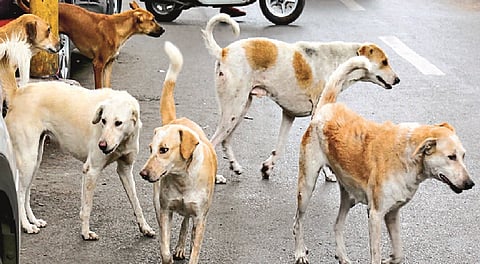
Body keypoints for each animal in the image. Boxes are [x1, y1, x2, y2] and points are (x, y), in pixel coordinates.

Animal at [0, 50, 155, 240]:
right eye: (103, 121)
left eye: (118, 123)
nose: (102, 145)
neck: (122, 140)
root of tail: (17, 93)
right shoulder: (91, 170)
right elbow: (87, 207)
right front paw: (86, 232)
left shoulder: (125, 170)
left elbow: (136, 203)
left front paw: (145, 227)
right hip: (27, 160)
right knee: (20, 193)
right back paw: (27, 226)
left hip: (35, 160)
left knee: (26, 192)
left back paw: (33, 221)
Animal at [18, 0, 165, 89]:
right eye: (153, 20)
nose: (163, 30)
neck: (117, 28)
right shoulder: (98, 64)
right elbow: (99, 86)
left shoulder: (109, 64)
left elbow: (107, 86)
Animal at [140, 41, 217, 264]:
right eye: (150, 149)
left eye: (164, 150)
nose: (143, 174)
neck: (183, 178)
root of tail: (175, 121)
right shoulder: (165, 210)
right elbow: (164, 247)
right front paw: (167, 255)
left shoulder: (200, 218)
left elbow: (195, 249)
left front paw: (187, 251)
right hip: (157, 202)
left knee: (185, 223)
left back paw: (182, 246)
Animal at [202, 14, 402, 182]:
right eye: (384, 62)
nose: (398, 80)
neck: (339, 60)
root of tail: (223, 52)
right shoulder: (317, 116)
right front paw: (329, 174)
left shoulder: (288, 115)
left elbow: (279, 147)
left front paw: (267, 168)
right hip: (233, 112)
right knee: (213, 142)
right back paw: (215, 177)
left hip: (241, 109)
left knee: (225, 141)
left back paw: (234, 166)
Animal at [290, 56, 474, 264]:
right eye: (451, 157)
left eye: (463, 156)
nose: (470, 184)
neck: (407, 156)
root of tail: (327, 107)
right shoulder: (376, 216)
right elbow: (376, 255)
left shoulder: (392, 214)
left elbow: (399, 253)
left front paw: (391, 258)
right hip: (306, 187)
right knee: (298, 221)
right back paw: (299, 252)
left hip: (349, 196)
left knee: (337, 224)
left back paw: (342, 256)